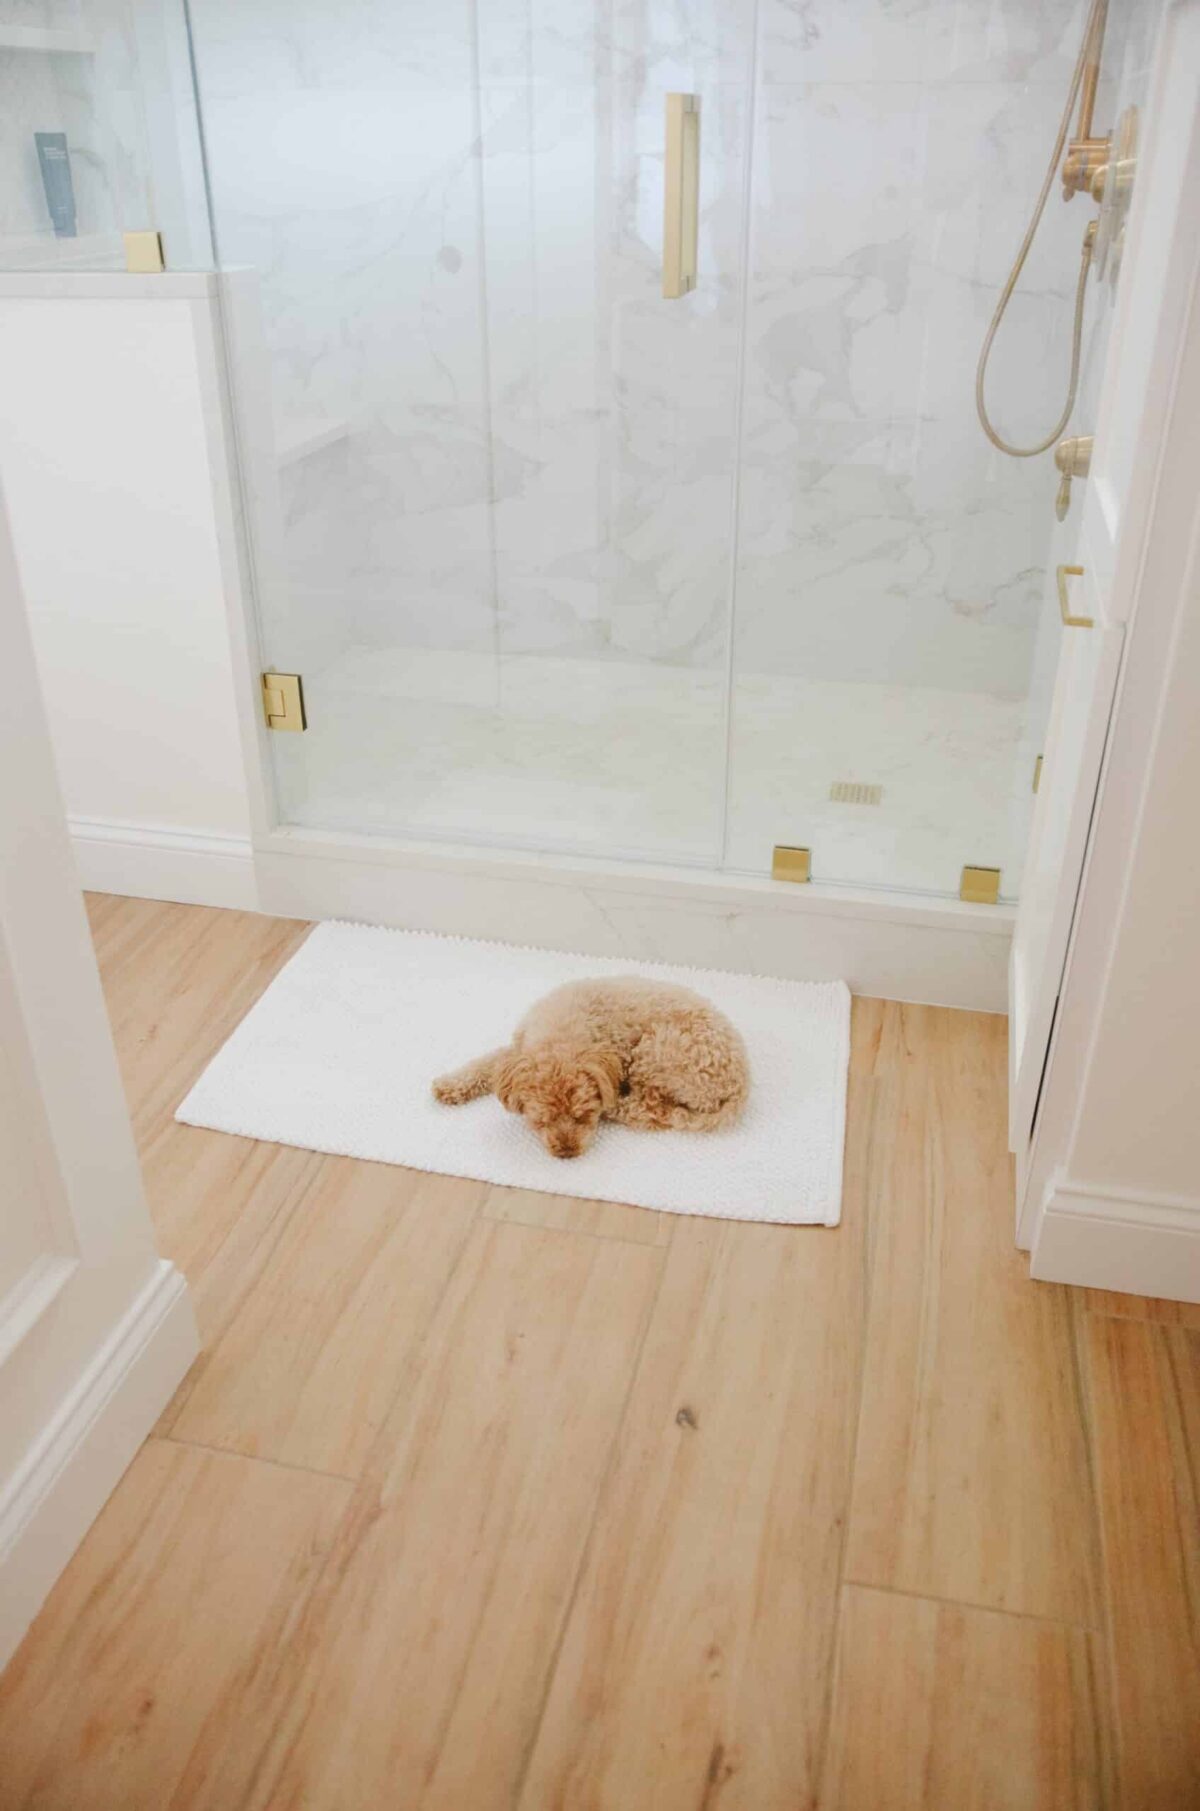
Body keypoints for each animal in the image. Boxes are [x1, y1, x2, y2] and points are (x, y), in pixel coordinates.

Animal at [432, 977, 752, 1159]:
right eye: (542, 1121)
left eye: (583, 1116)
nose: (566, 1152)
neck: (563, 1030)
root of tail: (740, 1083)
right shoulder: (518, 1050)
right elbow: (488, 1063)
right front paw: (450, 1086)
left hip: (658, 1051)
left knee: (650, 1110)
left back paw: (620, 1107)